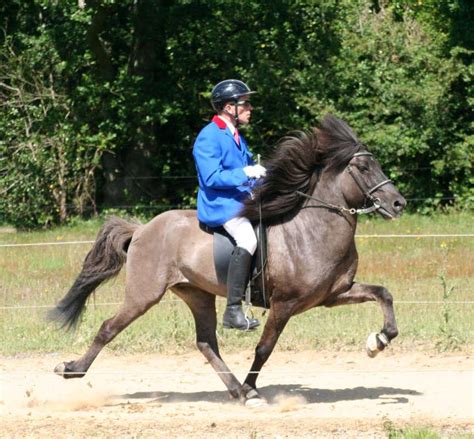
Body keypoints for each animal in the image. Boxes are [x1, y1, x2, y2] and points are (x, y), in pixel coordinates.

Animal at [49, 115, 408, 408]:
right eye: (364, 168)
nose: (398, 203)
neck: (312, 229)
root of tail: (141, 229)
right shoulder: (285, 304)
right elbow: (264, 348)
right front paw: (252, 390)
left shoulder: (334, 294)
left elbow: (383, 294)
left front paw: (378, 341)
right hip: (143, 294)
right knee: (109, 328)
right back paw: (72, 369)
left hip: (197, 293)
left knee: (206, 343)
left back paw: (234, 389)